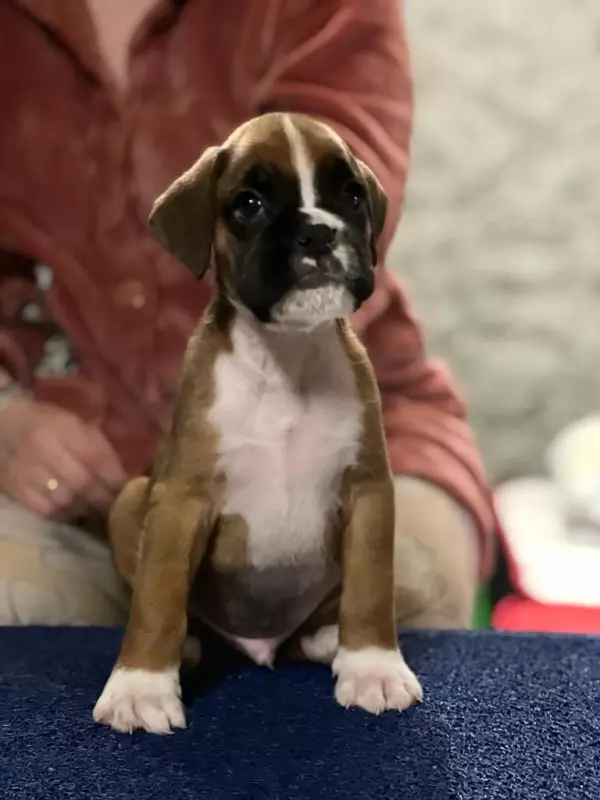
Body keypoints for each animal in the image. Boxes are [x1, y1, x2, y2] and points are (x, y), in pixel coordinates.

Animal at [93, 112, 423, 734]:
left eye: (351, 195)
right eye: (248, 204)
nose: (317, 233)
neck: (285, 357)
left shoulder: (369, 492)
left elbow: (371, 586)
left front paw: (371, 665)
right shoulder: (178, 502)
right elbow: (157, 595)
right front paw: (141, 686)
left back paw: (326, 640)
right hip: (130, 500)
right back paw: (189, 647)